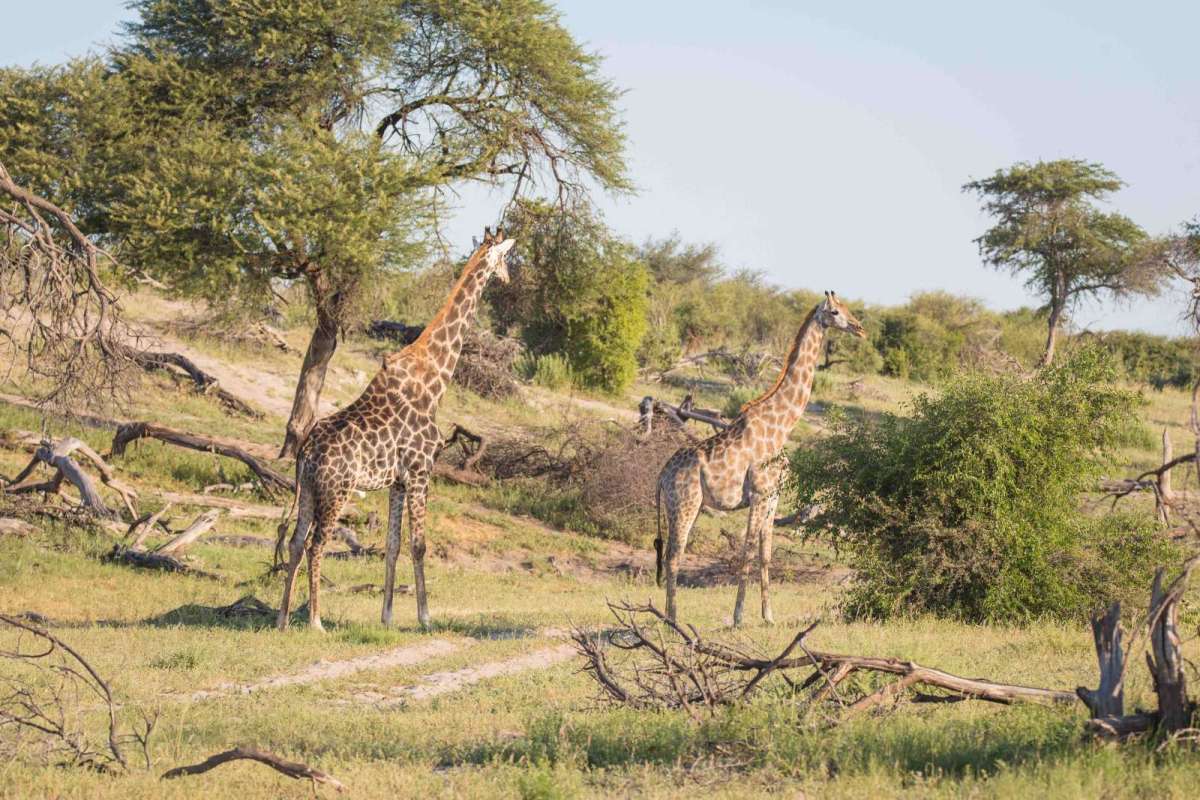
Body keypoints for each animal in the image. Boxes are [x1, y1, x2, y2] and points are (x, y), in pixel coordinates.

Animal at [278, 226, 518, 633]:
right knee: (316, 544)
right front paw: (425, 618)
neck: (435, 380)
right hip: (337, 490)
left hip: (307, 487)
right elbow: (419, 545)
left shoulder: (398, 481)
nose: (508, 279)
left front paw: (387, 616)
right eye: (505, 257)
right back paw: (315, 621)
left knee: (295, 542)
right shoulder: (422, 472)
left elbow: (393, 545)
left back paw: (281, 618)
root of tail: (307, 452)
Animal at [657, 293, 864, 623]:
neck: (781, 427)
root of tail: (662, 475)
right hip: (685, 504)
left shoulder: (773, 497)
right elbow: (746, 553)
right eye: (834, 311)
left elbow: (765, 555)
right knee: (674, 555)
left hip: (684, 505)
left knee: (671, 554)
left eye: (846, 308)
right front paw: (739, 617)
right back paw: (671, 619)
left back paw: (669, 616)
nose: (859, 327)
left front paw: (768, 616)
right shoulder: (757, 494)